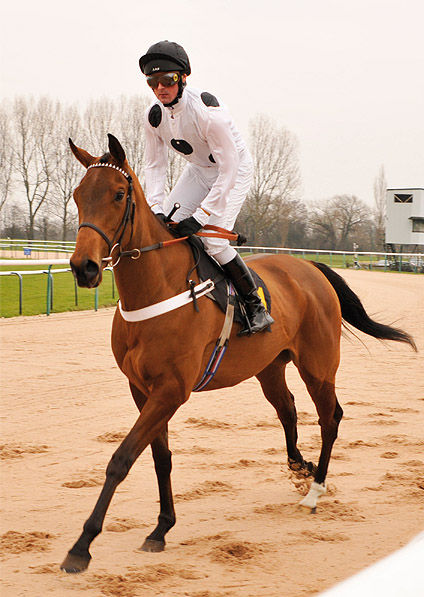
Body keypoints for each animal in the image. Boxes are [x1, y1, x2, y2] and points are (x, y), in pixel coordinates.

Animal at [60, 134, 418, 572]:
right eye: (78, 195)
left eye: (118, 194)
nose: (84, 267)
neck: (156, 288)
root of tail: (312, 269)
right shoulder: (141, 389)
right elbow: (160, 457)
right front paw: (161, 528)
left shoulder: (171, 390)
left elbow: (122, 458)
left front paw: (82, 546)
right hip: (270, 367)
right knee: (288, 409)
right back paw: (300, 465)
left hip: (318, 365)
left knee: (329, 417)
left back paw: (314, 491)